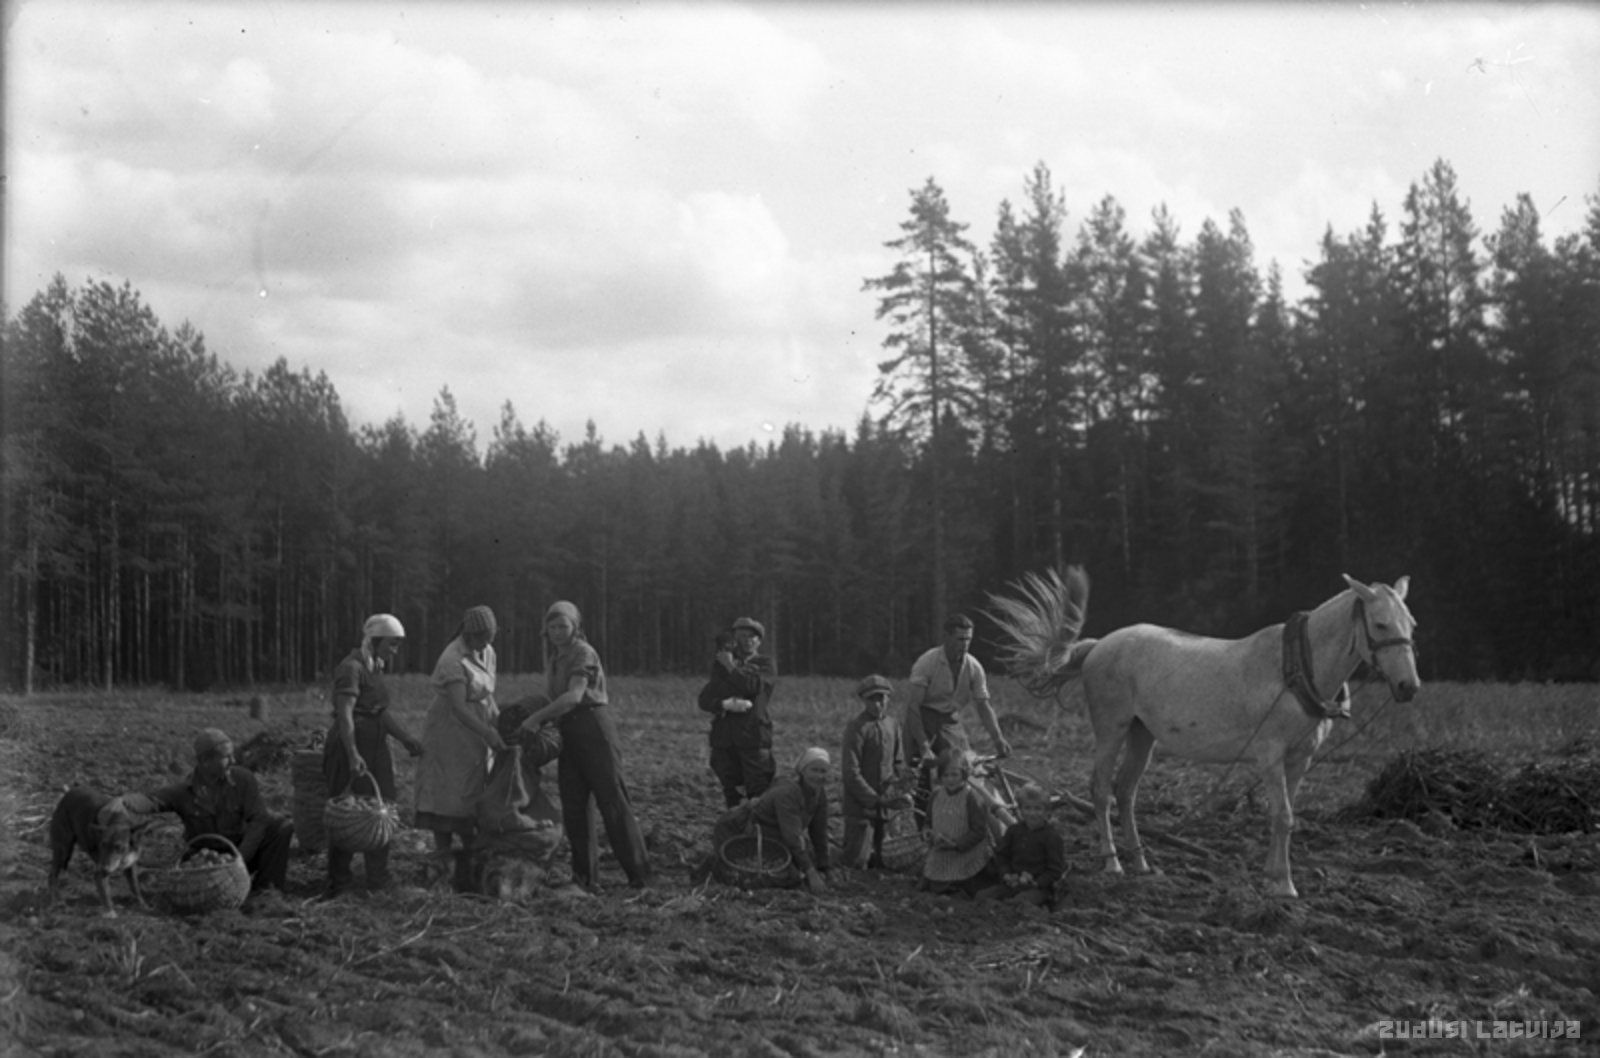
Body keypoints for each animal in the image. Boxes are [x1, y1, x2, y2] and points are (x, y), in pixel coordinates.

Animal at [48, 787, 152, 916]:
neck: (118, 821)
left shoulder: (130, 866)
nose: (104, 869)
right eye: (102, 845)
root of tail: (67, 794)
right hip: (63, 851)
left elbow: (135, 888)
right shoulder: (99, 874)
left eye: (119, 847)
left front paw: (144, 906)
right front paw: (110, 912)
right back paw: (54, 902)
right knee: (52, 876)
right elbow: (105, 893)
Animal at [988, 568, 1420, 898]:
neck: (1295, 668)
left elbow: (1286, 817)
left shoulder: (1300, 758)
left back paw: (1141, 861)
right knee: (1100, 790)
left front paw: (1273, 877)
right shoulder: (1270, 754)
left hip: (1142, 734)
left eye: (1411, 624)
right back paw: (1113, 864)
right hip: (1112, 728)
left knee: (1125, 791)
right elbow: (1282, 815)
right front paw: (1284, 886)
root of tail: (1098, 645)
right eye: (1380, 623)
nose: (1408, 687)